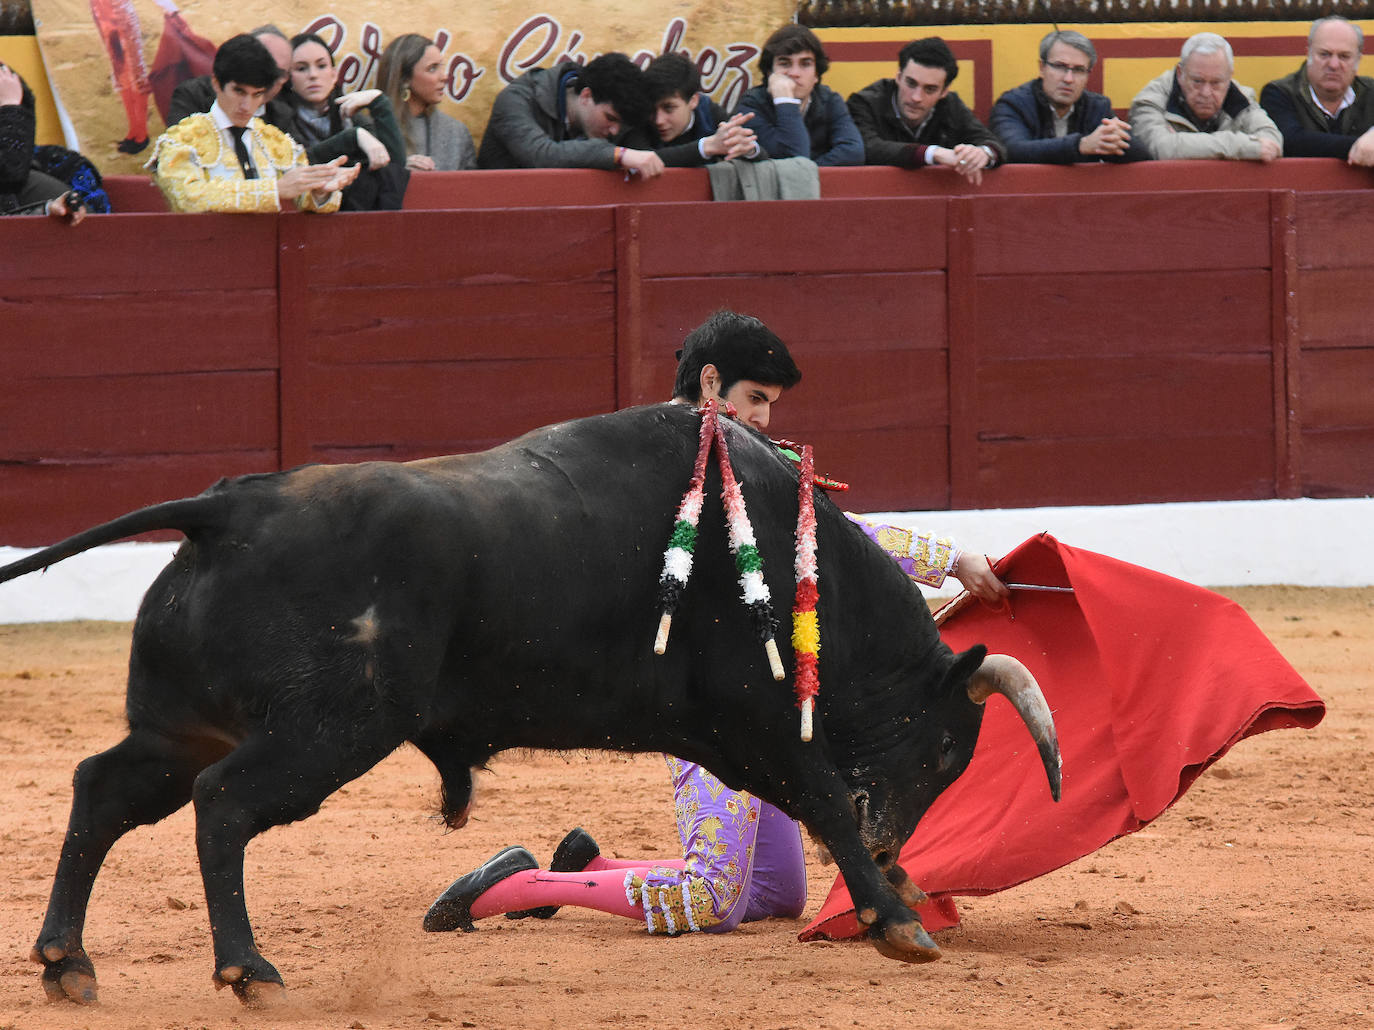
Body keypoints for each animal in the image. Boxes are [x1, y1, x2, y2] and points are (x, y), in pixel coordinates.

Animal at [0, 406, 1060, 1010]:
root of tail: (228, 509)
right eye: (943, 753)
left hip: (180, 727)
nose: (895, 846)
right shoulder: (758, 724)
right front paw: (898, 920)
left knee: (103, 790)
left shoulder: (739, 740)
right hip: (324, 733)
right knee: (221, 805)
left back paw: (65, 962)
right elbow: (829, 800)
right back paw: (248, 971)